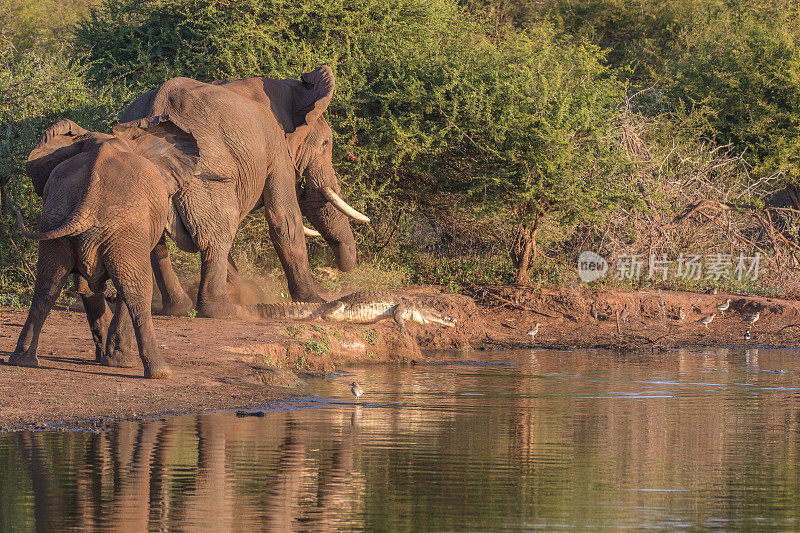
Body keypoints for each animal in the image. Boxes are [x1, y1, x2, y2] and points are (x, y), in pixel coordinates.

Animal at [2, 120, 188, 378]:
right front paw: (116, 360)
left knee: (47, 286)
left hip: (55, 220)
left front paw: (105, 356)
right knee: (136, 290)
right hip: (124, 231)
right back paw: (157, 372)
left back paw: (22, 360)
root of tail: (88, 204)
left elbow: (84, 286)